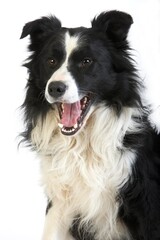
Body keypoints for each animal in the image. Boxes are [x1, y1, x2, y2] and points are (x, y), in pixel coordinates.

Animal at [20, 10, 160, 240]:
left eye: (86, 61)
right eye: (51, 61)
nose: (55, 88)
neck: (83, 144)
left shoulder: (146, 203)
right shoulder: (60, 202)